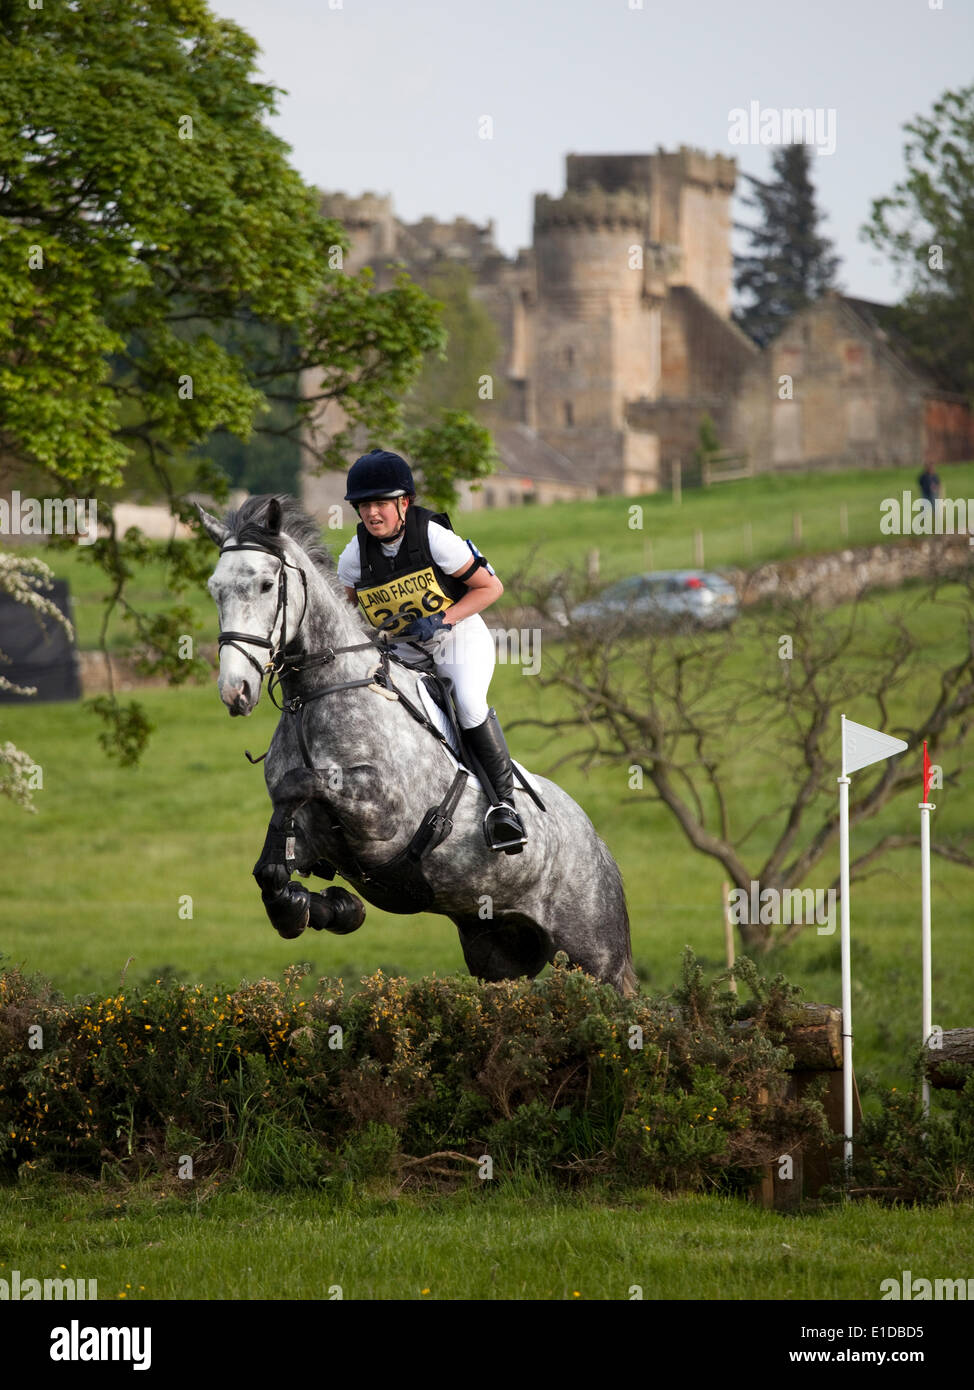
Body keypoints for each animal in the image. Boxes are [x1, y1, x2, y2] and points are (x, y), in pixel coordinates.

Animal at [197, 494, 639, 995]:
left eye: (267, 584)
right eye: (215, 589)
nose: (235, 692)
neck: (315, 695)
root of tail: (597, 842)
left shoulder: (384, 813)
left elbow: (299, 782)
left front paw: (326, 905)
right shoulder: (319, 838)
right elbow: (274, 862)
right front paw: (324, 907)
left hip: (596, 955)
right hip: (499, 954)